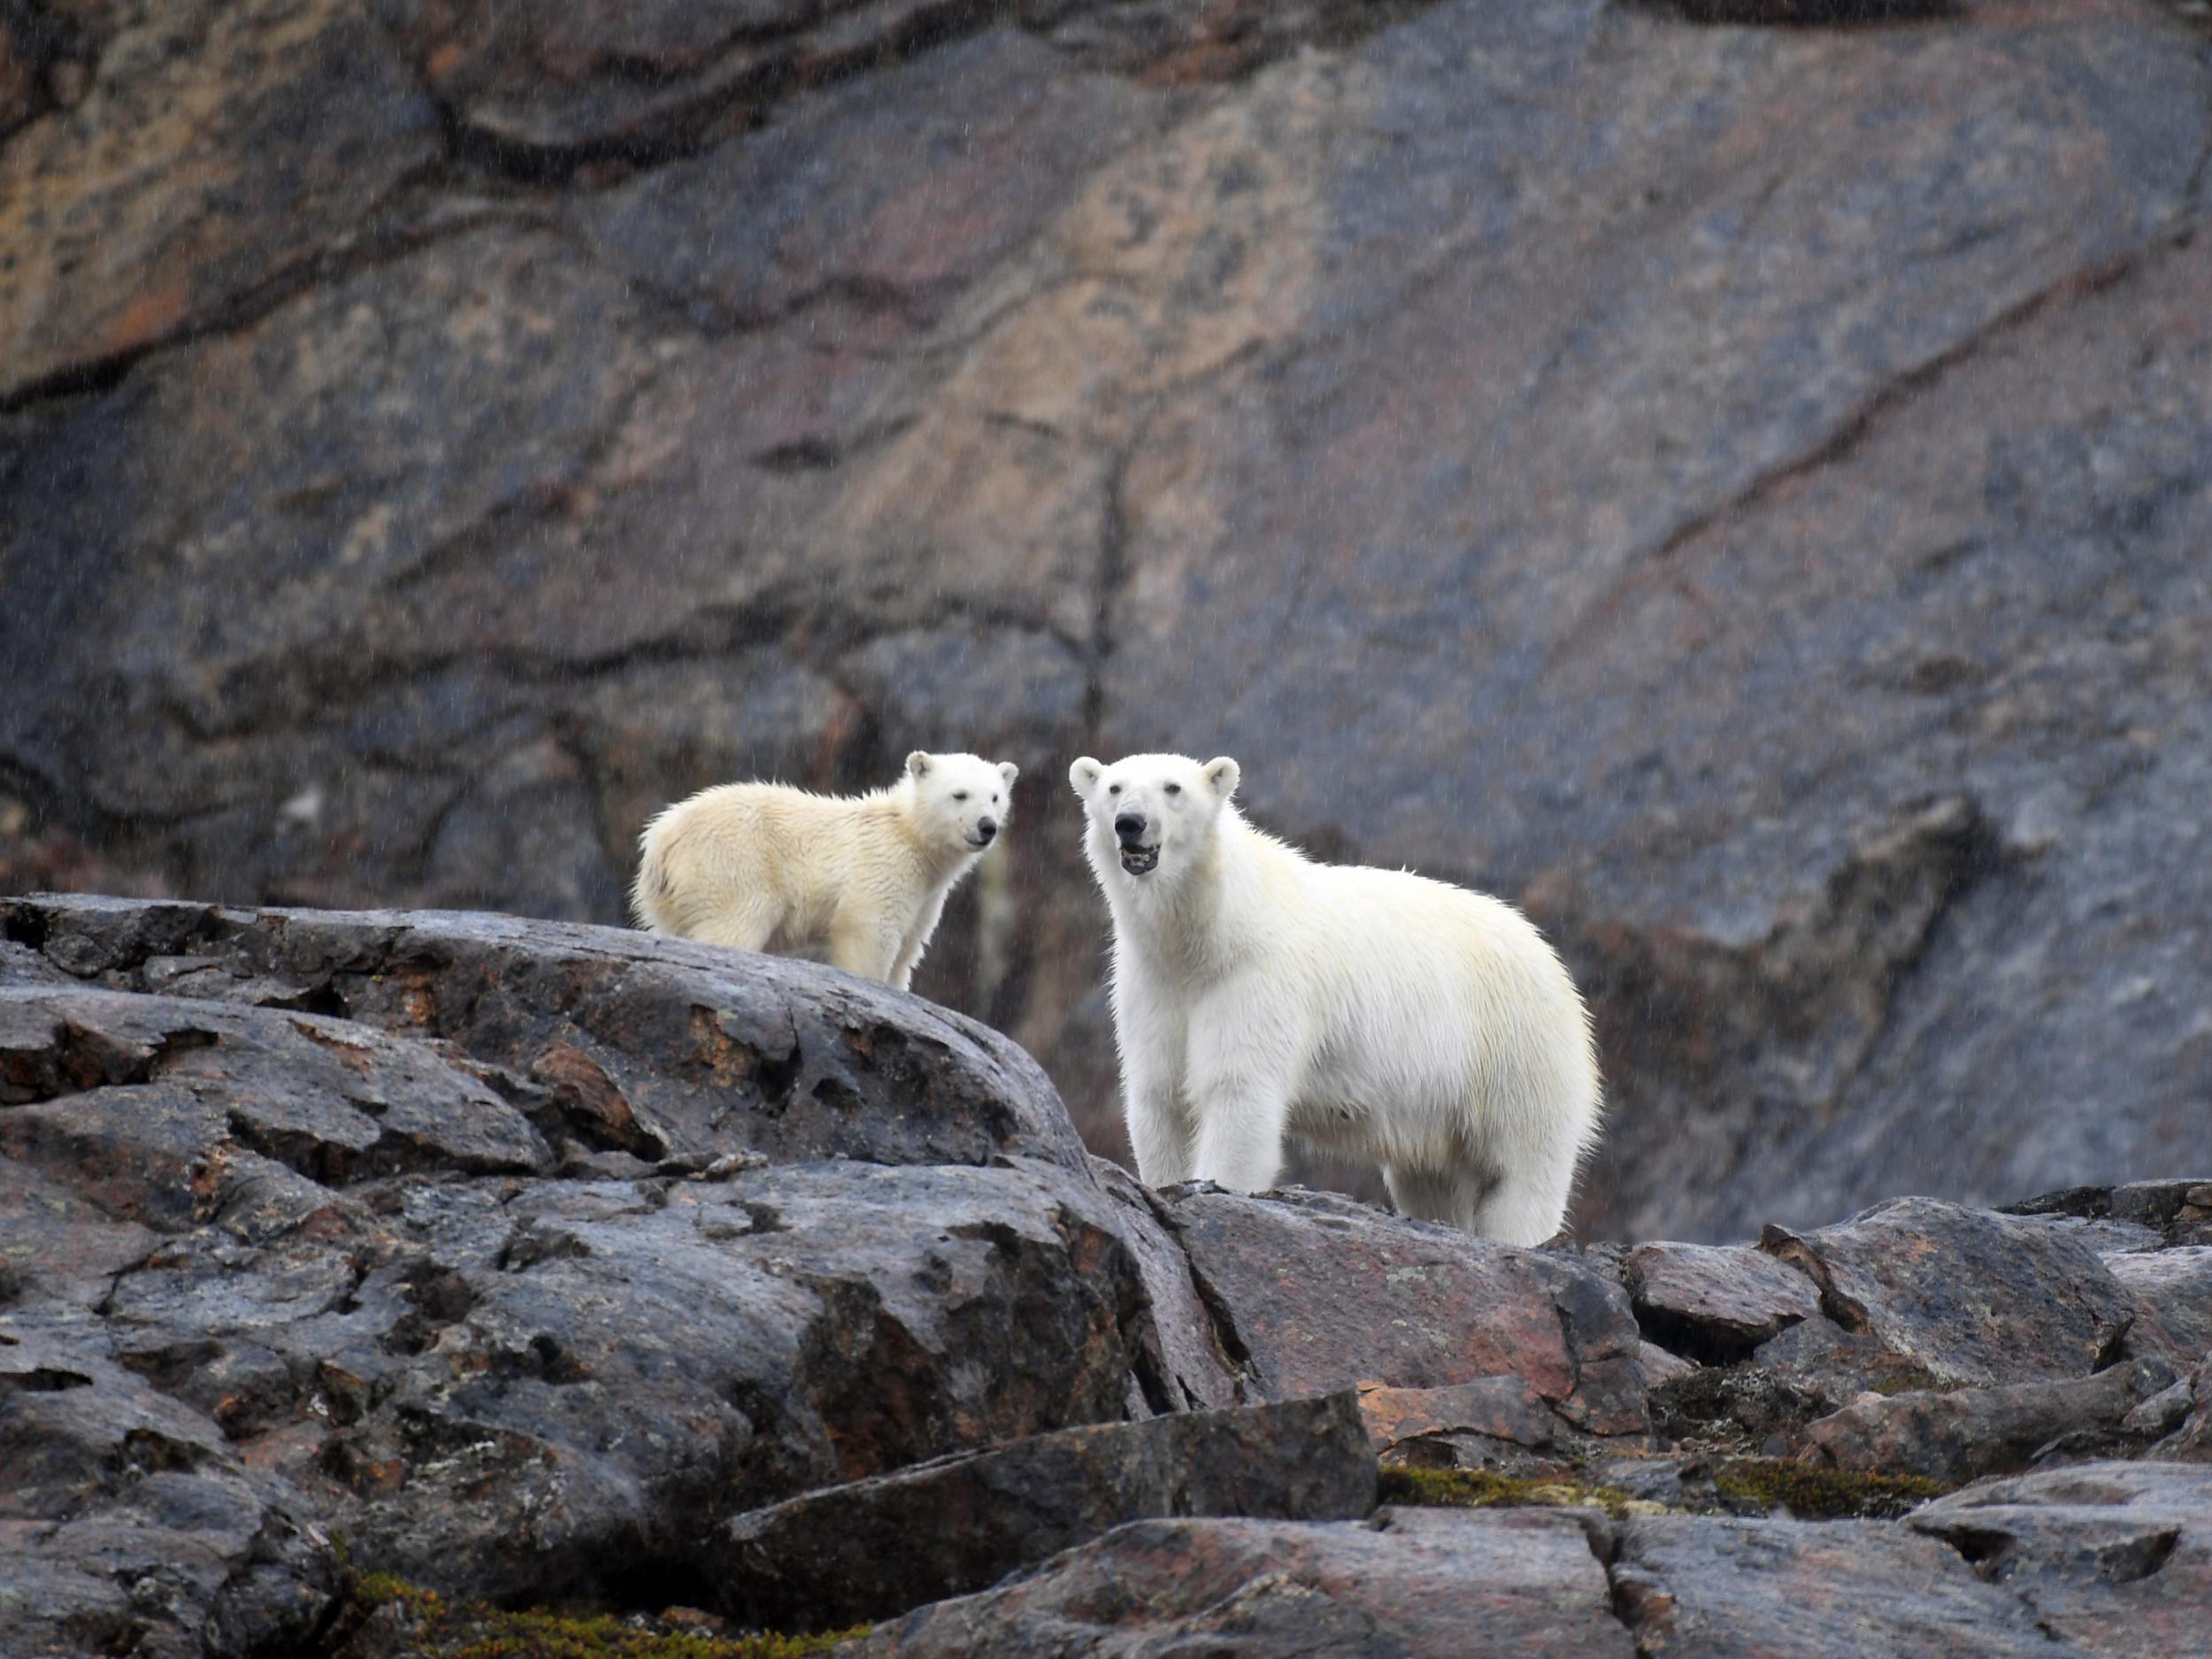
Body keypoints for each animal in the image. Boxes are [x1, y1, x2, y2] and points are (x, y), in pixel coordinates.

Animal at [633, 757, 1018, 1000]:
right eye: (959, 794)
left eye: (995, 797)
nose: (987, 826)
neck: (910, 836)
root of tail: (660, 841)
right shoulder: (883, 868)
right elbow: (868, 932)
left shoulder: (927, 896)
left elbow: (909, 948)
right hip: (732, 862)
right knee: (737, 922)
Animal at [1066, 752, 1601, 1248]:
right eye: (1114, 788)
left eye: (1172, 788)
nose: (1131, 823)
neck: (1209, 930)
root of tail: (1550, 958)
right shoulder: (1153, 985)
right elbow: (1160, 1093)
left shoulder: (1258, 977)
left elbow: (1238, 1089)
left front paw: (1214, 1190)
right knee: (1431, 1178)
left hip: (1513, 1053)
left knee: (1521, 1168)